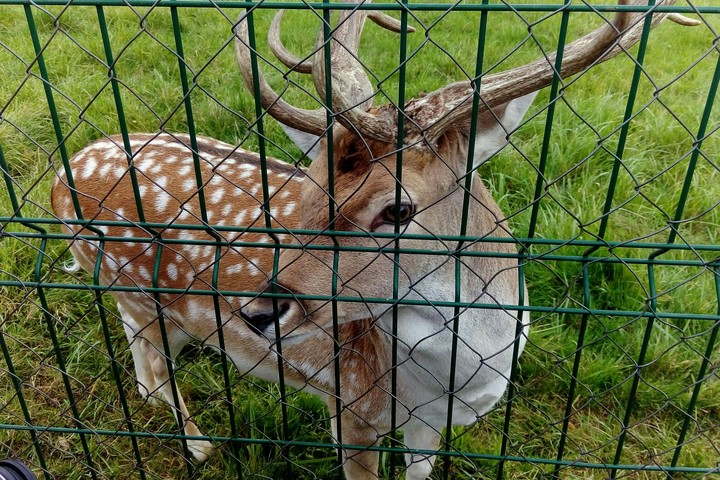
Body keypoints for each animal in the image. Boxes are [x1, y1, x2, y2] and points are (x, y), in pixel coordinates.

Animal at [51, 1, 696, 479]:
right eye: (312, 186)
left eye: (398, 208)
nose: (256, 311)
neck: (451, 383)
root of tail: (62, 172)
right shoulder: (351, 409)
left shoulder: (431, 429)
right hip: (130, 287)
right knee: (154, 362)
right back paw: (201, 446)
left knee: (145, 361)